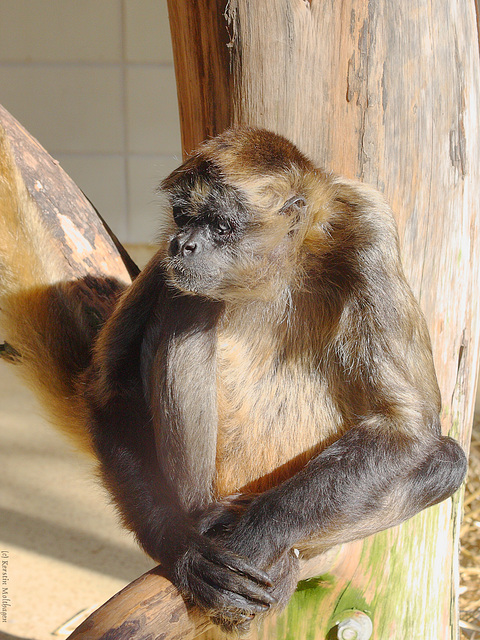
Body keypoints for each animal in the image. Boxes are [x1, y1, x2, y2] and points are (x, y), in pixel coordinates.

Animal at [0, 125, 464, 632]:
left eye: (222, 226)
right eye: (184, 218)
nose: (185, 245)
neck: (277, 268)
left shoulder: (366, 223)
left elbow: (405, 425)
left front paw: (258, 538)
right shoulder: (170, 263)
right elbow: (108, 396)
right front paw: (185, 550)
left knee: (448, 462)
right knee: (187, 305)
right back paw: (203, 522)